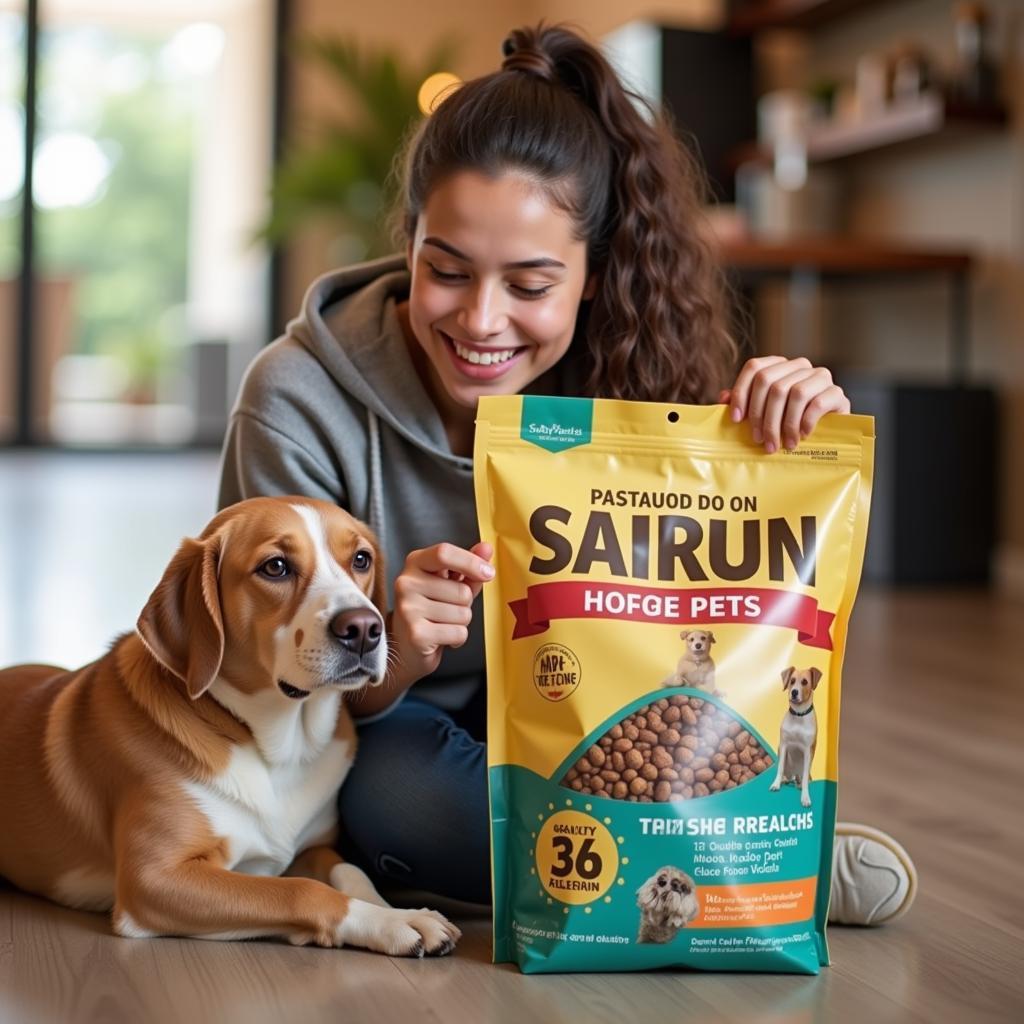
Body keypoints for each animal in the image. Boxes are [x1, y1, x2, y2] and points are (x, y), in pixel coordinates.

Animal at [0, 499, 460, 954]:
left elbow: (350, 871)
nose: (364, 628)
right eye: (276, 567)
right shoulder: (154, 878)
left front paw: (398, 910)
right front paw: (389, 923)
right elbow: (301, 891)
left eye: (361, 559)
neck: (280, 747)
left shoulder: (314, 848)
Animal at [770, 663, 823, 806]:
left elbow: (805, 777)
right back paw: (784, 780)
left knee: (802, 777)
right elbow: (780, 767)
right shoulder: (783, 745)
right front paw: (776, 784)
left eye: (804, 682)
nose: (794, 692)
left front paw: (805, 797)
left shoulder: (807, 750)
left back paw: (799, 784)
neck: (799, 715)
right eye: (792, 681)